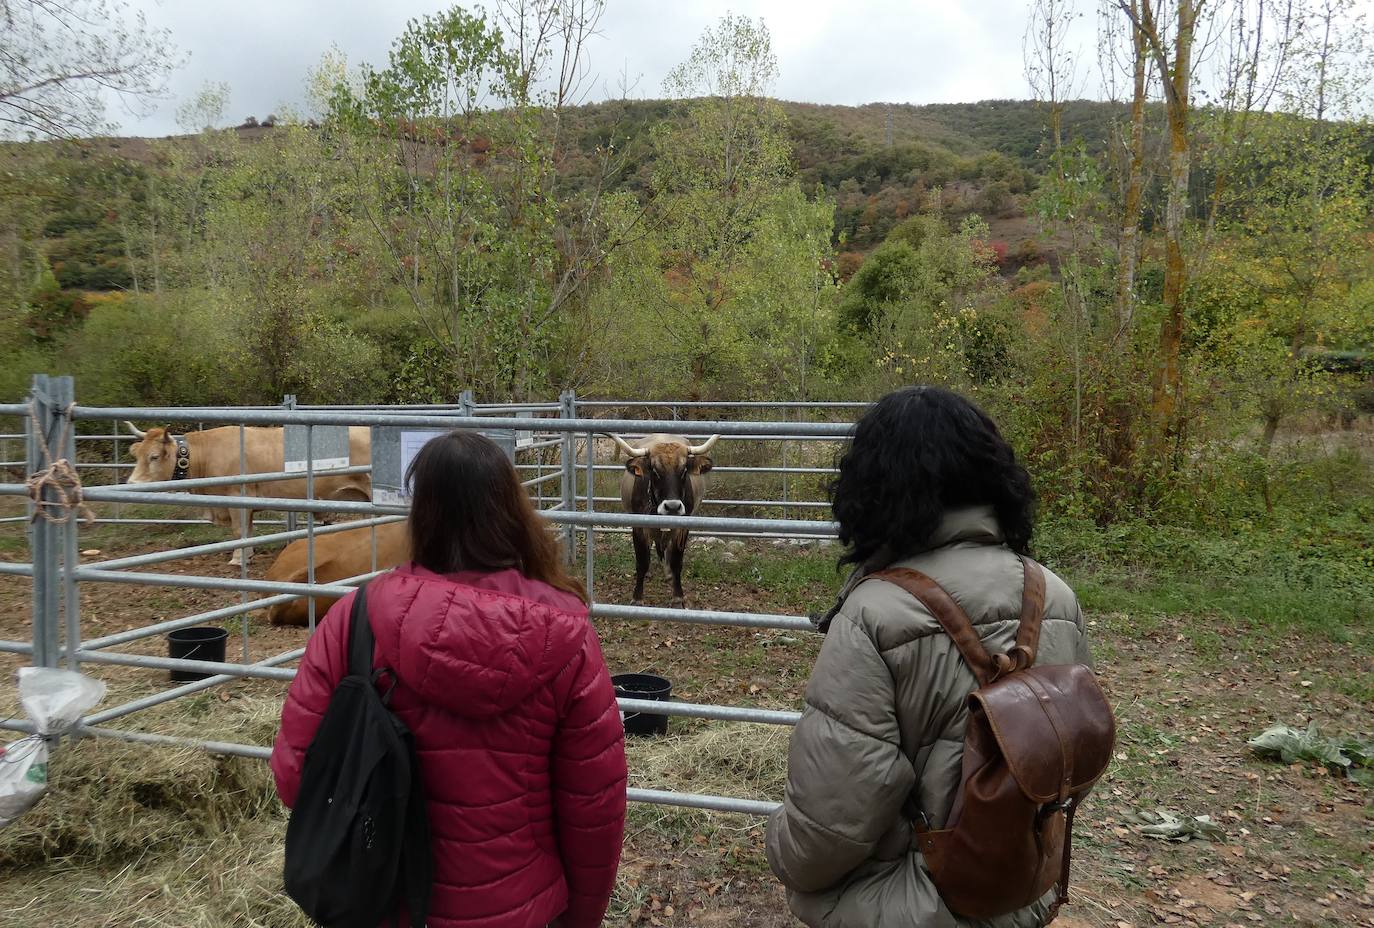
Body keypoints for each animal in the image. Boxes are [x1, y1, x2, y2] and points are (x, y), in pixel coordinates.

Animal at [120, 423, 370, 566]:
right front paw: (248, 555)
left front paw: (237, 559)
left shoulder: (236, 498)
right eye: (137, 454)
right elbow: (248, 532)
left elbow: (239, 531)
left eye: (153, 456)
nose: (131, 483)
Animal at [610, 434, 719, 610]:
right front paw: (637, 597)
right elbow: (642, 562)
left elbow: (676, 562)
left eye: (684, 470)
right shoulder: (638, 528)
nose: (672, 506)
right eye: (654, 471)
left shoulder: (682, 529)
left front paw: (678, 597)